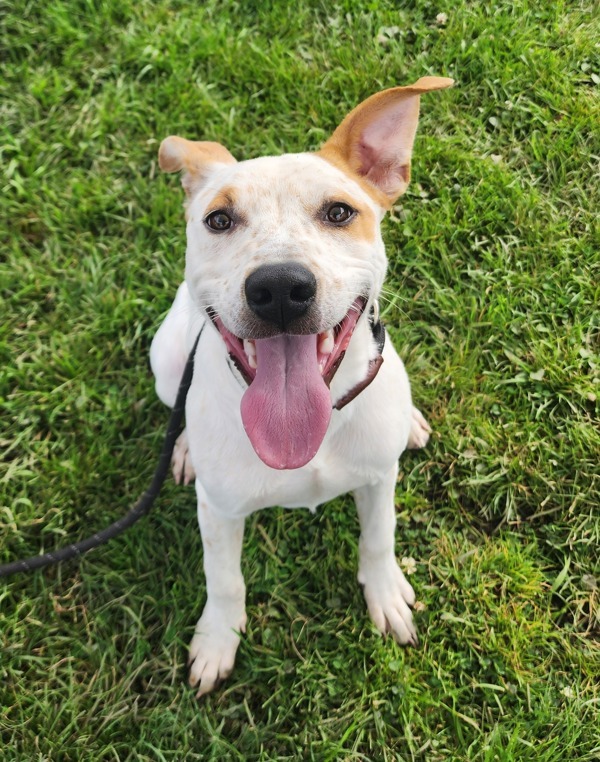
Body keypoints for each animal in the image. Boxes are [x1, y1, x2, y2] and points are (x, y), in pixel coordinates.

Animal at [149, 77, 450, 696]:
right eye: (219, 220)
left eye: (339, 212)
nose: (280, 288)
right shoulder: (218, 511)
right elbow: (224, 579)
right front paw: (217, 641)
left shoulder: (379, 480)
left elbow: (379, 537)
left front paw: (386, 596)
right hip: (165, 362)